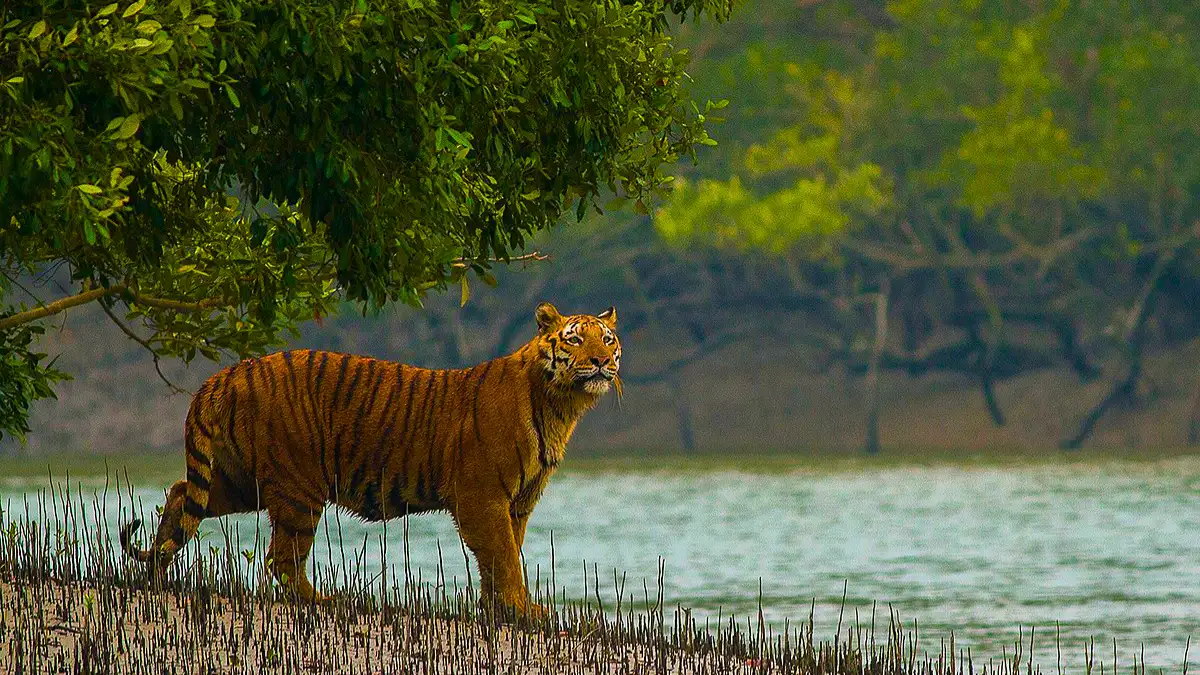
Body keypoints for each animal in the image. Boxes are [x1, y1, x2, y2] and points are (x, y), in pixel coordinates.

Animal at [121, 300, 624, 614]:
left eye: (607, 340)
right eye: (575, 341)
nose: (602, 362)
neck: (561, 404)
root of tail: (227, 373)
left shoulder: (517, 502)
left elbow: (502, 555)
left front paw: (498, 609)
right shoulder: (483, 497)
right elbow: (503, 556)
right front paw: (523, 610)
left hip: (240, 480)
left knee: (181, 494)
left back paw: (156, 574)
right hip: (298, 487)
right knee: (282, 559)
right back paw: (322, 601)